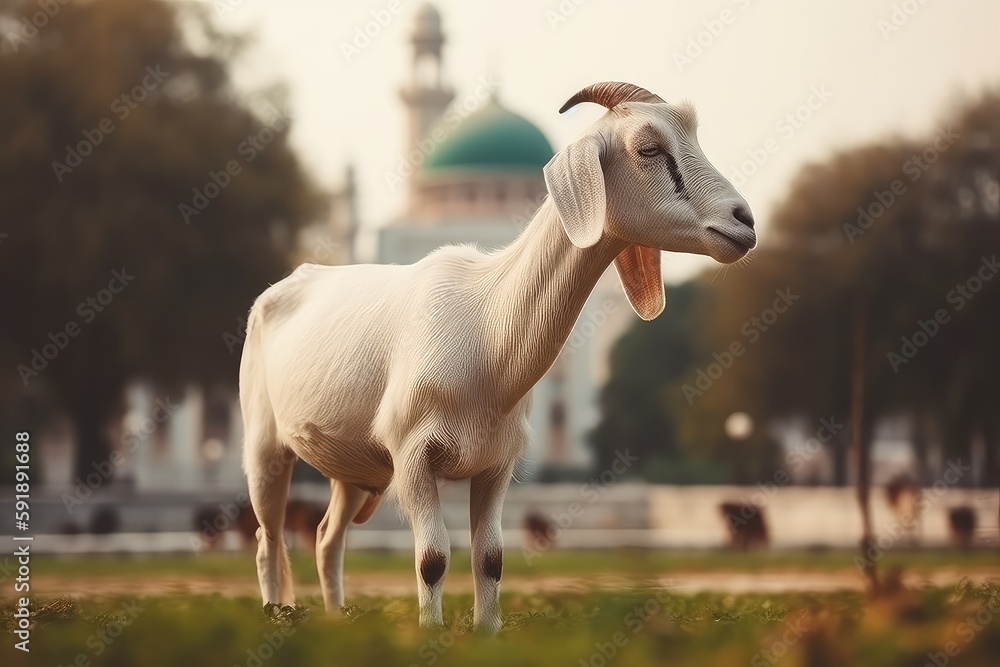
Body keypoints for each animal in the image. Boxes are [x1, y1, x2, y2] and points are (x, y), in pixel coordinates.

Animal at [239, 81, 756, 632]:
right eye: (649, 148)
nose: (744, 220)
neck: (486, 327)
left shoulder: (498, 460)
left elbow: (491, 557)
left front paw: (486, 631)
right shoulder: (411, 454)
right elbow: (432, 558)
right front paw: (429, 633)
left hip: (353, 467)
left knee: (325, 537)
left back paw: (337, 618)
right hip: (263, 440)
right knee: (268, 538)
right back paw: (276, 615)